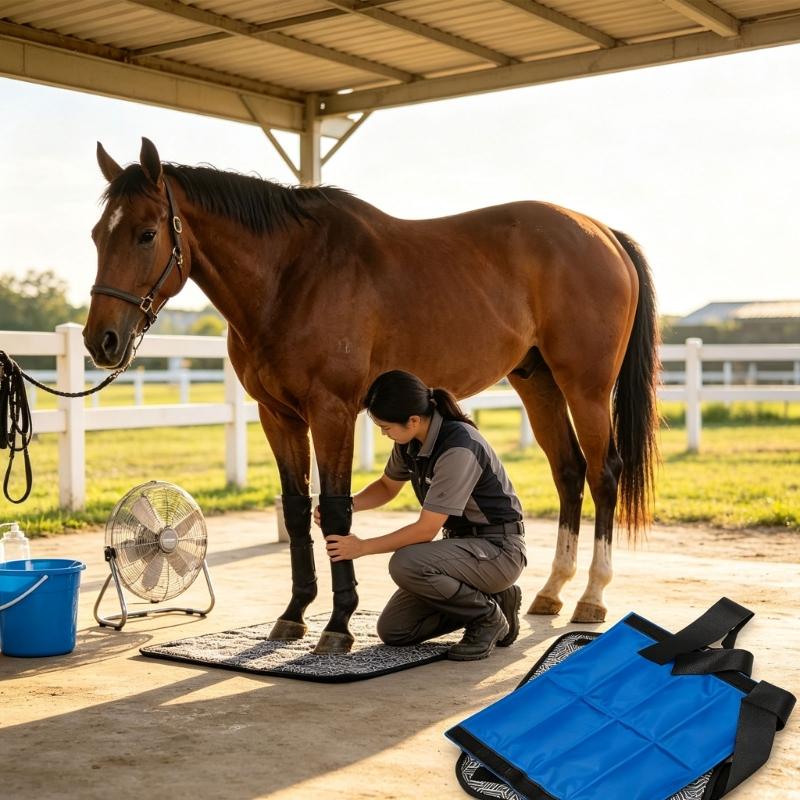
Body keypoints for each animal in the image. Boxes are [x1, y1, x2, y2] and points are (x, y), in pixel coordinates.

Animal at [84, 137, 660, 654]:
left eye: (147, 234)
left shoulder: (332, 411)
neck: (291, 275)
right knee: (568, 471)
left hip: (585, 386)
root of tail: (602, 233)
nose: (100, 341)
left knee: (603, 473)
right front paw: (294, 614)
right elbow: (298, 511)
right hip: (537, 382)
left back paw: (591, 596)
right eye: (95, 235)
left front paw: (338, 624)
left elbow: (337, 512)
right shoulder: (278, 416)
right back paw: (551, 591)